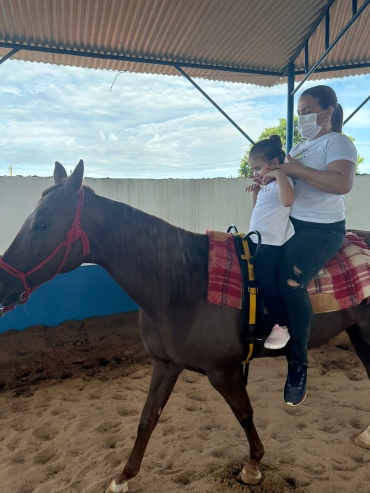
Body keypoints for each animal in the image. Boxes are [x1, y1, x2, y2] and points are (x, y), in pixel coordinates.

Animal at [0, 161, 368, 492]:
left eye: (42, 224)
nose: (4, 283)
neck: (183, 282)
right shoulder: (166, 364)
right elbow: (147, 418)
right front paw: (123, 478)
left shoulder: (224, 372)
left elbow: (245, 414)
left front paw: (252, 467)